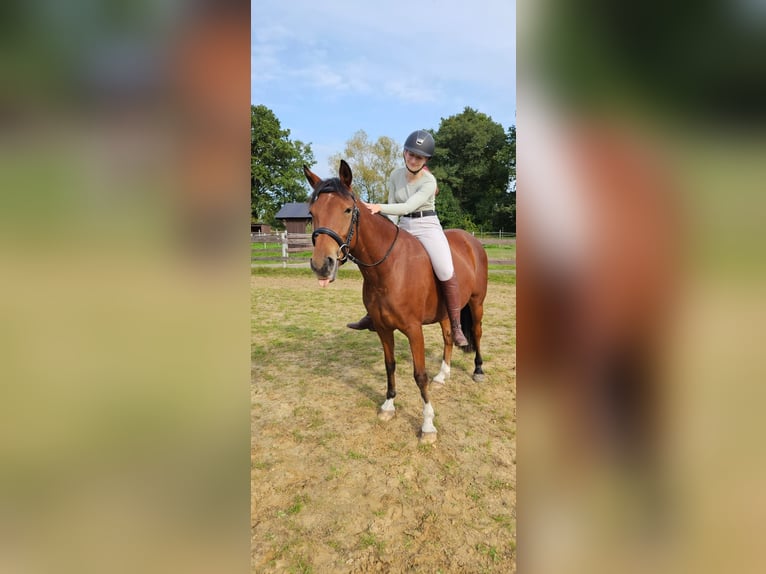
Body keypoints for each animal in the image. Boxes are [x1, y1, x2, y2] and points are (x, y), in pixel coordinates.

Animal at [303, 160, 489, 444]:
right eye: (312, 212)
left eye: (348, 210)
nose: (322, 265)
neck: (388, 268)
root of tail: (472, 241)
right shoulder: (383, 327)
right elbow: (389, 365)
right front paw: (389, 405)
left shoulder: (413, 330)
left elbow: (419, 375)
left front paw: (427, 425)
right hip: (447, 312)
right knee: (449, 336)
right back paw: (443, 374)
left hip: (477, 303)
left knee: (476, 333)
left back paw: (478, 371)